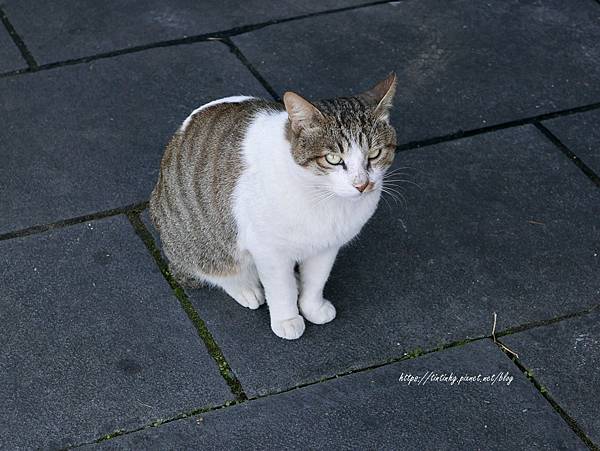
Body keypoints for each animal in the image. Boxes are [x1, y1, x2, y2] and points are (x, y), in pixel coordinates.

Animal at [149, 73, 398, 340]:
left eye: (374, 154)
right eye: (333, 159)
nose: (362, 184)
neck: (323, 198)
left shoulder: (327, 246)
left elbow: (316, 280)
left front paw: (312, 306)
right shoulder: (268, 250)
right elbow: (280, 289)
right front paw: (287, 318)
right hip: (201, 242)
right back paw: (245, 287)